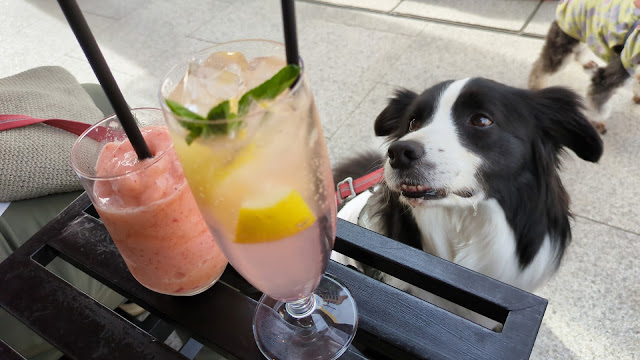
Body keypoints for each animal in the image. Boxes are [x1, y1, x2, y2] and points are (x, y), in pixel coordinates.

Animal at [528, 0, 640, 134]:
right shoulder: (613, 73)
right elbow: (597, 104)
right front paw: (596, 122)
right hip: (565, 38)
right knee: (540, 67)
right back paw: (536, 88)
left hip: (582, 31)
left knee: (579, 50)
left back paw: (586, 62)